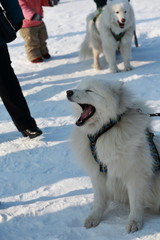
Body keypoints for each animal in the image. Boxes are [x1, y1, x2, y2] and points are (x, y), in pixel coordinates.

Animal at [66, 79, 160, 233]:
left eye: (89, 90)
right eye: (79, 87)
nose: (68, 92)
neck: (104, 130)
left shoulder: (135, 173)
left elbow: (135, 201)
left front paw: (134, 222)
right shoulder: (97, 173)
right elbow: (98, 200)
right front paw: (94, 218)